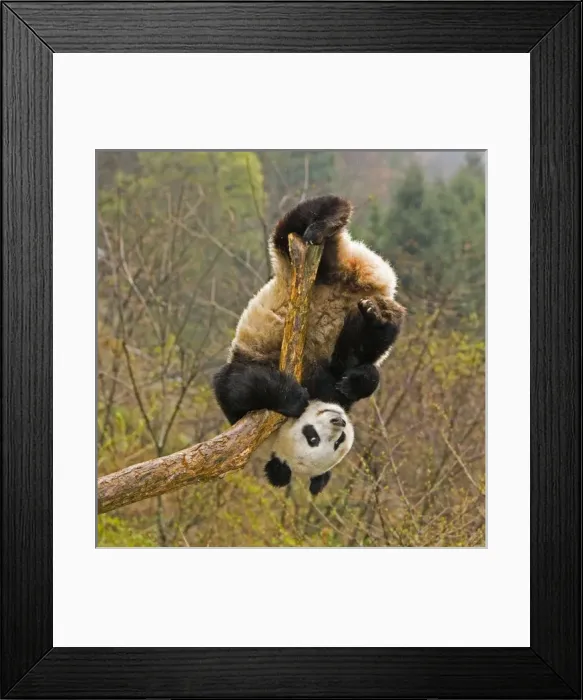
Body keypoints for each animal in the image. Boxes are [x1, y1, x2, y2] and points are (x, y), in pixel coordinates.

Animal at [213, 195, 406, 493]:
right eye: (312, 438)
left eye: (338, 442)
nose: (338, 421)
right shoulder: (248, 405)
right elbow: (239, 385)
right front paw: (293, 397)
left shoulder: (333, 387)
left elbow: (355, 372)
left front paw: (355, 381)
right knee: (290, 230)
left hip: (324, 268)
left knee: (306, 218)